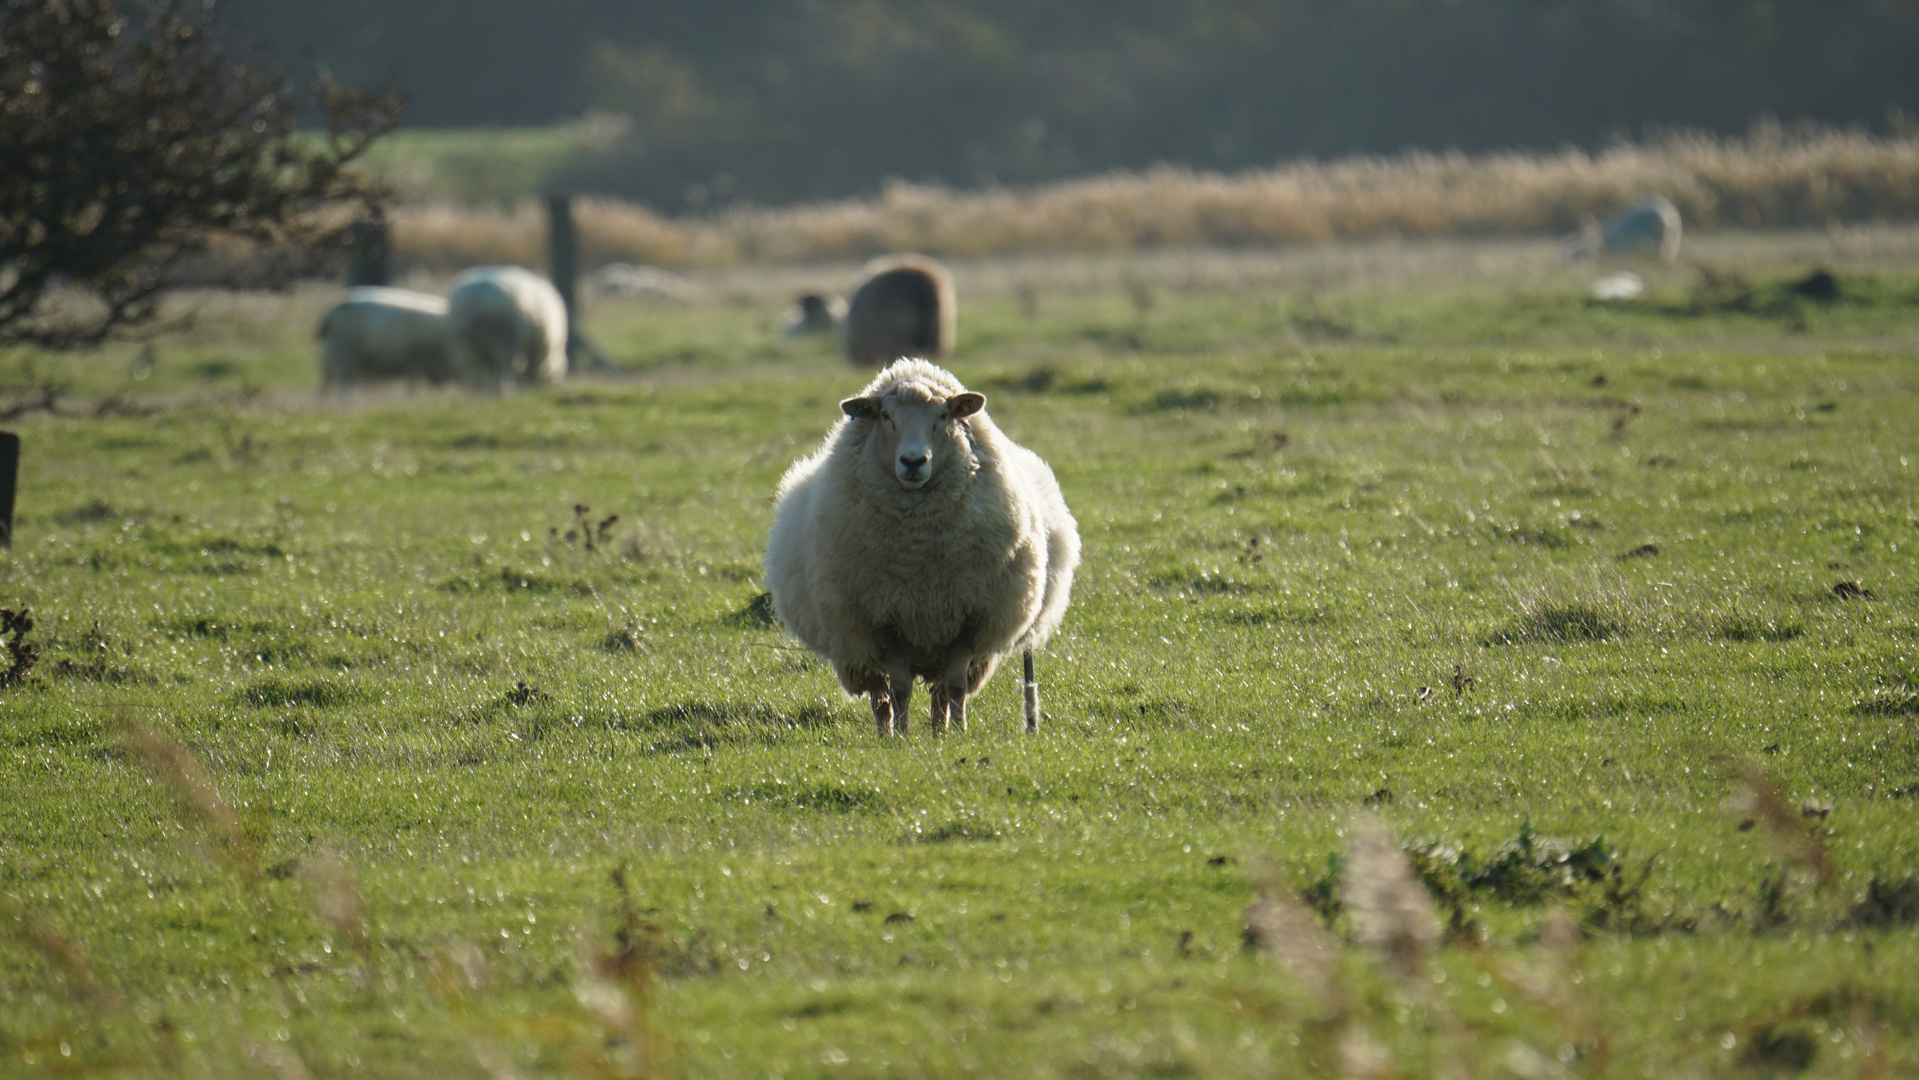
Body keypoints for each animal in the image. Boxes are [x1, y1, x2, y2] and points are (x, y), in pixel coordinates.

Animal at [314, 287, 452, 393]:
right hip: (344, 359)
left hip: (330, 360)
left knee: (324, 389)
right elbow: (412, 387)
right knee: (343, 390)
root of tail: (331, 314)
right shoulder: (416, 362)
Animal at [759, 358, 1082, 740]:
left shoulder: (970, 617)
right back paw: (887, 731)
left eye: (943, 416)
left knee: (940, 689)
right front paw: (902, 735)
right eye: (885, 416)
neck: (919, 552)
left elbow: (955, 685)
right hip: (857, 643)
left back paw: (940, 729)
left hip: (941, 643)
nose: (913, 461)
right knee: (880, 694)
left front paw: (959, 732)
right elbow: (900, 687)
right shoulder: (883, 622)